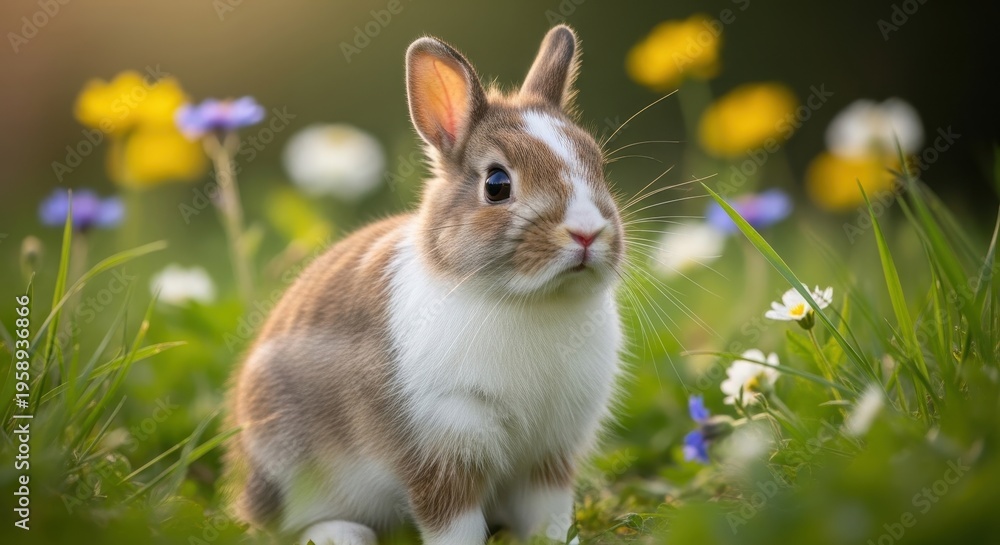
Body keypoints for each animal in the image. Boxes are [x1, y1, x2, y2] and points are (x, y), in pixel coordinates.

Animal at [227, 24, 626, 545]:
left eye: (598, 166)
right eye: (497, 184)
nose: (586, 233)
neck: (531, 299)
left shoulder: (549, 457)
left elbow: (549, 517)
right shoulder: (442, 448)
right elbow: (453, 525)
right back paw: (340, 534)